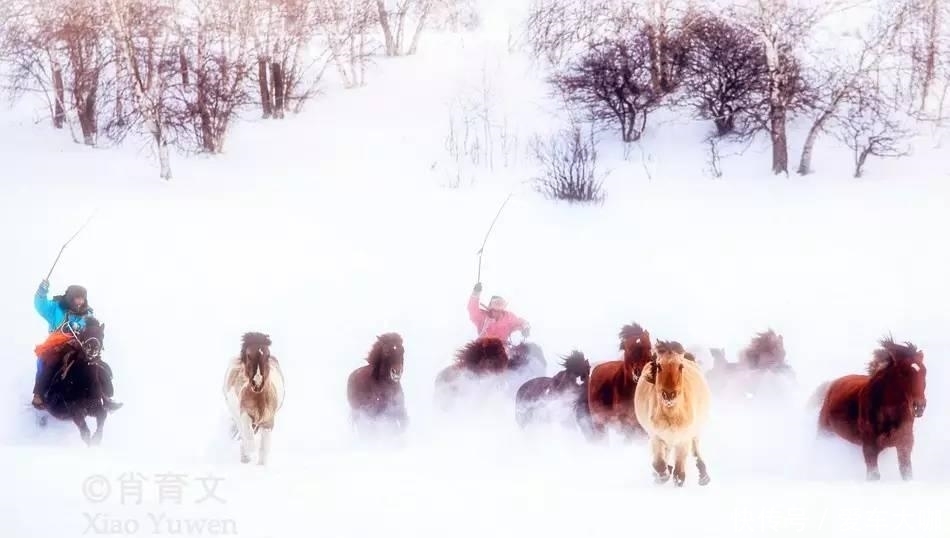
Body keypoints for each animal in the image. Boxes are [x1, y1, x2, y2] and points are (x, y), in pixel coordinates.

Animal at [38, 316, 117, 446]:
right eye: (85, 333)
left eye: (102, 335)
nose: (92, 347)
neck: (84, 385)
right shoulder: (75, 410)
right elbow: (84, 429)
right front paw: (90, 440)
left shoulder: (95, 406)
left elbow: (102, 415)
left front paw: (97, 438)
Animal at [223, 328, 286, 462]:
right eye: (248, 355)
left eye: (267, 355)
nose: (257, 383)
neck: (259, 399)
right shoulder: (245, 415)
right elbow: (249, 439)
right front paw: (248, 454)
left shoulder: (268, 422)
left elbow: (264, 450)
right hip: (237, 417)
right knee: (244, 434)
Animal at [636, 340, 712, 486]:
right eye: (659, 366)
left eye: (681, 366)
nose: (669, 395)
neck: (671, 415)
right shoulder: (656, 436)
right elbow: (659, 463)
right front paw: (663, 475)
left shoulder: (683, 438)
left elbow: (679, 474)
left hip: (695, 431)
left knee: (696, 449)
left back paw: (704, 476)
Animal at [812, 336, 928, 478]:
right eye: (903, 373)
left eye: (925, 372)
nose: (919, 407)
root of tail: (832, 384)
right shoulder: (870, 449)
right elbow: (874, 476)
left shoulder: (905, 445)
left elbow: (906, 473)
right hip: (824, 431)